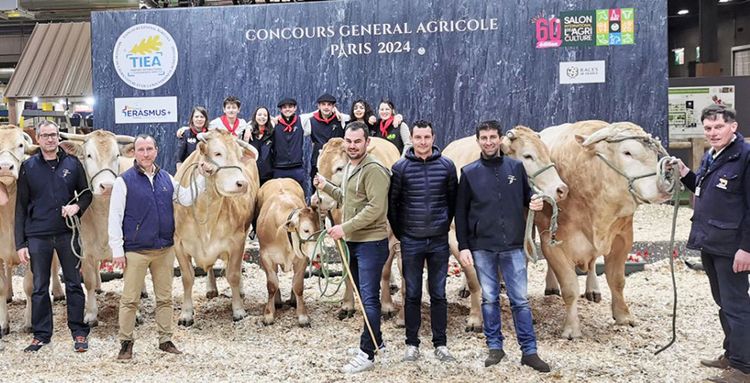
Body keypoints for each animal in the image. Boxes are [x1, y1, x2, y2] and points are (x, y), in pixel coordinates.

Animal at [175, 130, 260, 326]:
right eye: (217, 153)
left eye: (239, 156)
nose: (242, 183)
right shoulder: (178, 244)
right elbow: (187, 278)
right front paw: (186, 313)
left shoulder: (237, 241)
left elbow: (233, 274)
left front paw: (238, 310)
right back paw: (211, 288)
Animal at [258, 179, 322, 328]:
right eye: (306, 230)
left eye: (321, 229)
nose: (318, 255)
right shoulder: (265, 257)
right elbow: (272, 285)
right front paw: (268, 314)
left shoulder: (302, 259)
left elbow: (298, 285)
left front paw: (302, 316)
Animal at [540, 121, 676, 340]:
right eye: (627, 152)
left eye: (654, 154)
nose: (664, 183)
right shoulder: (551, 242)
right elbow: (569, 287)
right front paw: (571, 328)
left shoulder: (623, 237)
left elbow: (617, 280)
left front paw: (623, 316)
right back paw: (551, 286)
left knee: (592, 263)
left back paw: (593, 289)